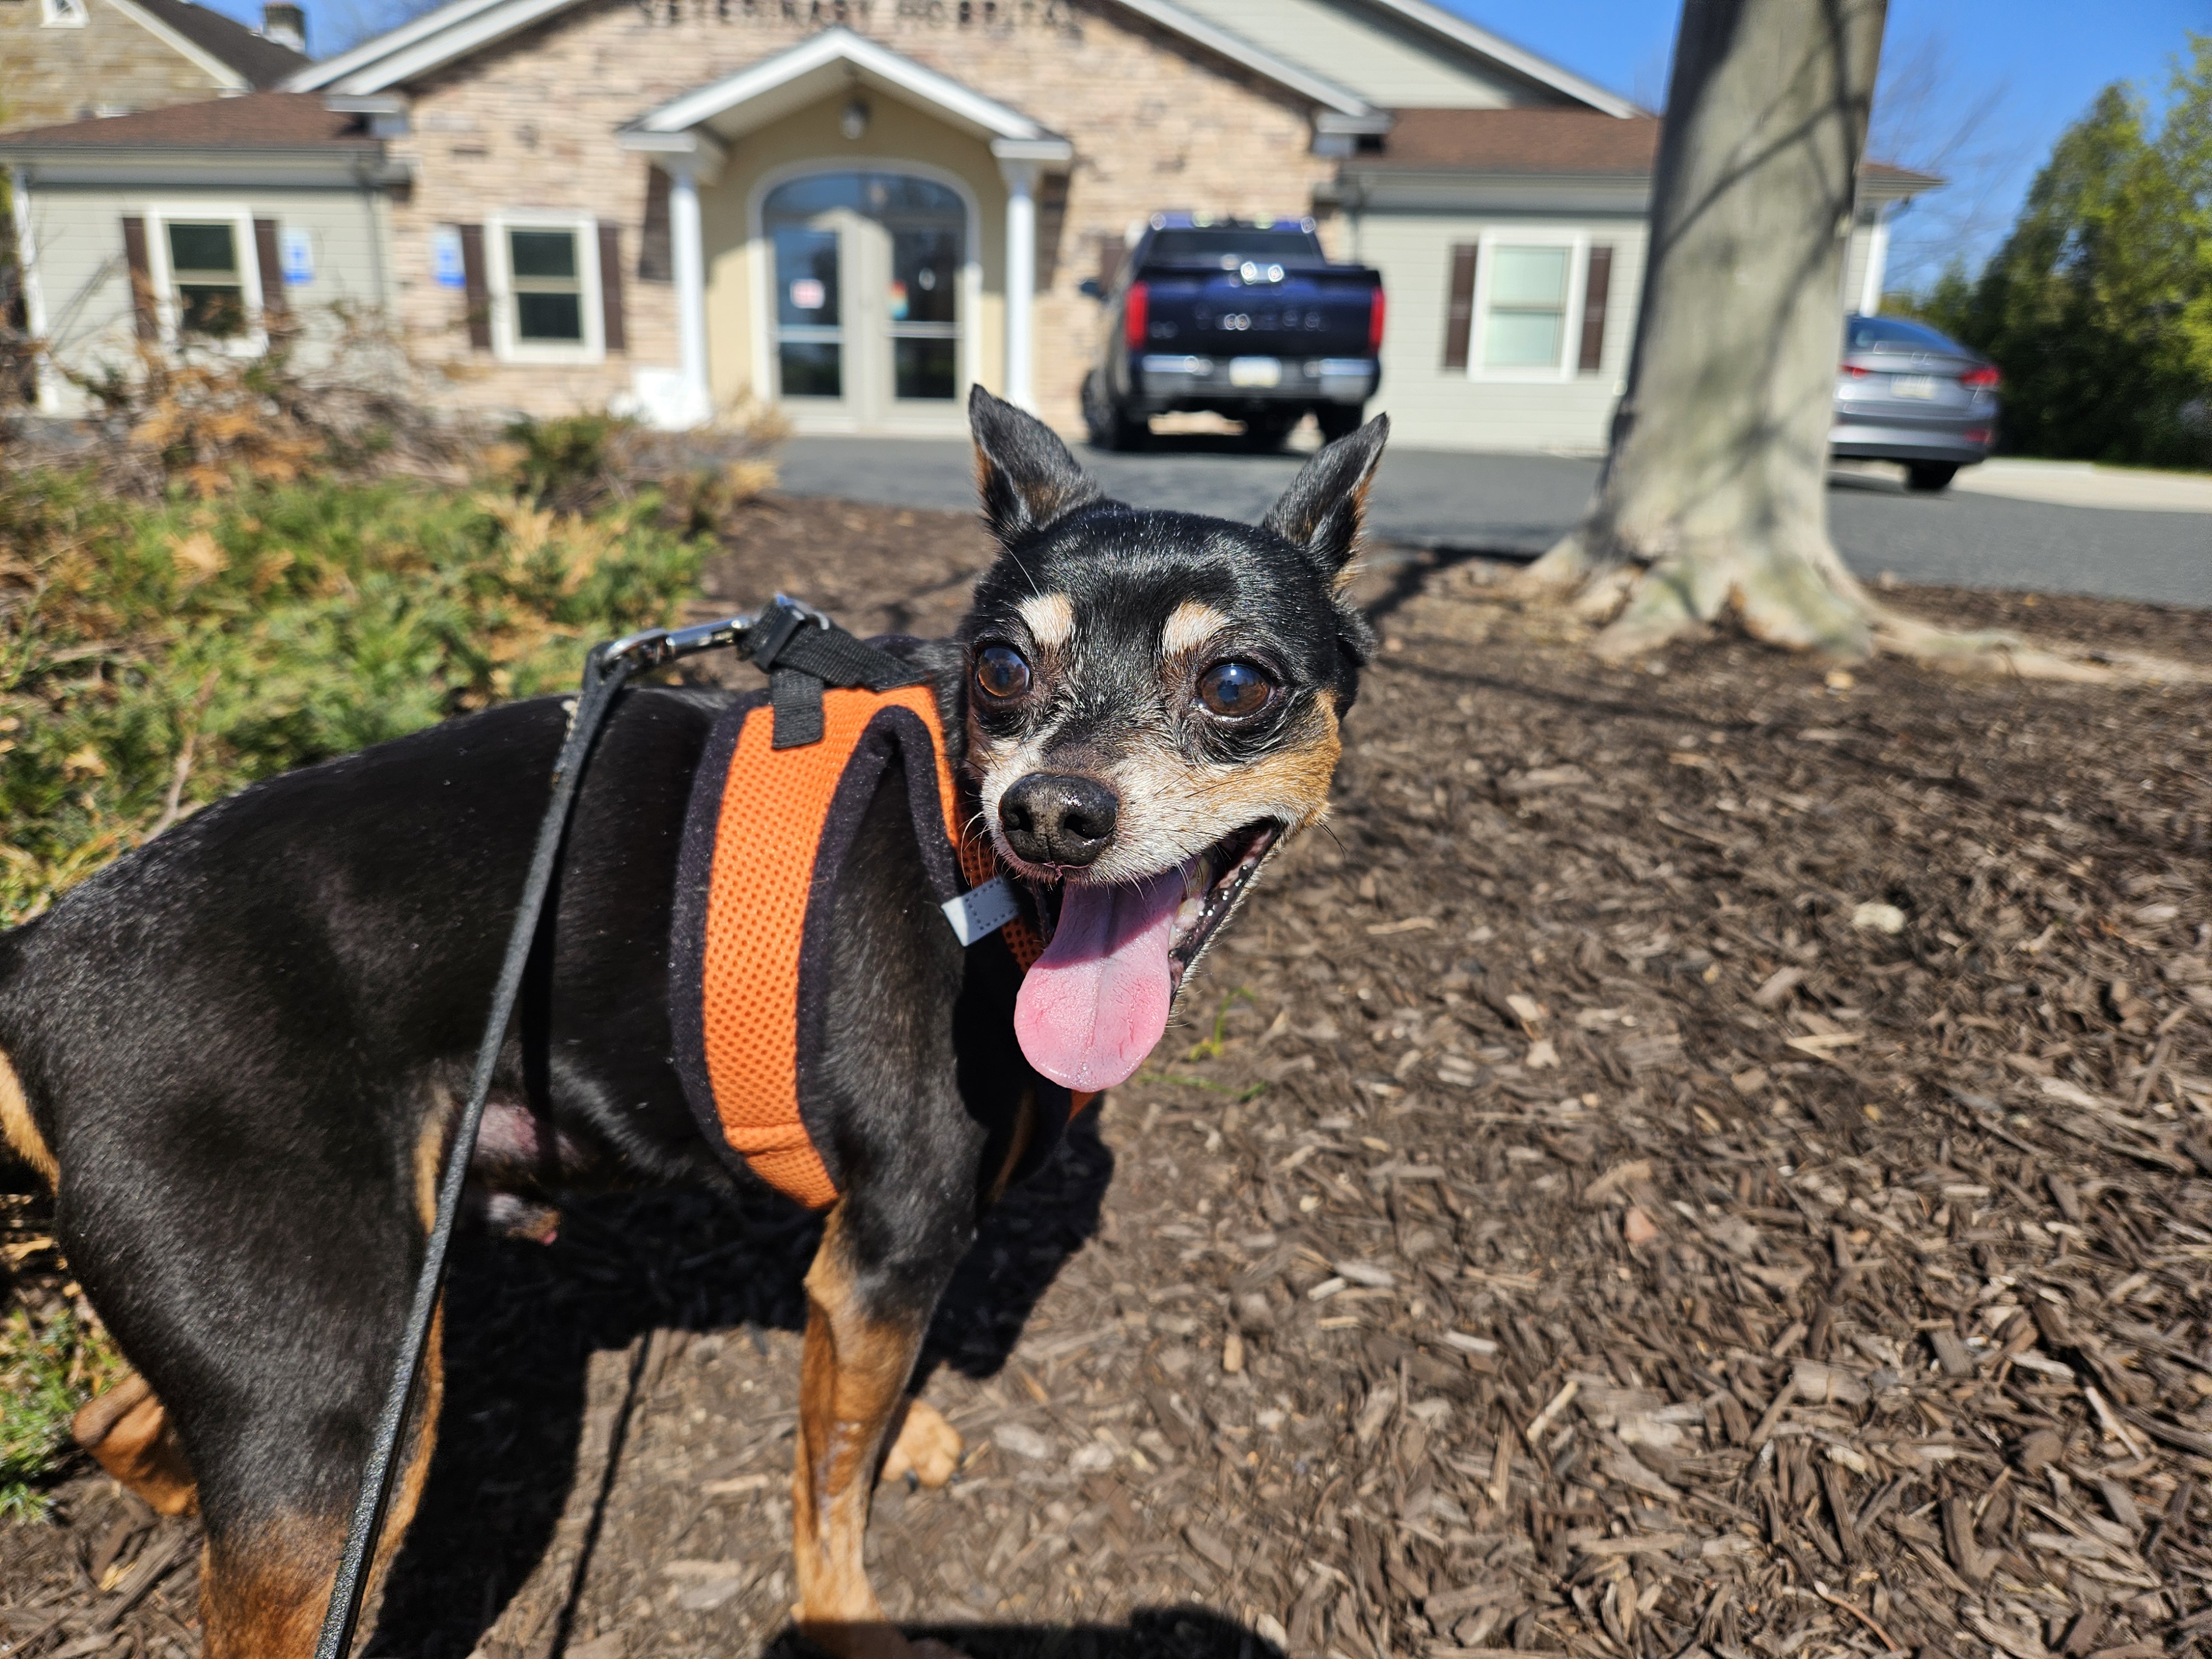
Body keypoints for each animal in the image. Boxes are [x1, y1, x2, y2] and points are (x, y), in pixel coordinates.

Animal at [0, 389, 1383, 1658]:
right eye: (1000, 668)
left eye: (1236, 684)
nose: (1048, 810)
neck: (976, 872)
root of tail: (36, 957)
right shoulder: (883, 1254)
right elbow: (827, 1493)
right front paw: (847, 1624)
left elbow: (855, 1428)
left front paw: (908, 1434)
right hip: (333, 1394)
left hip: (289, 1345)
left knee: (111, 1424)